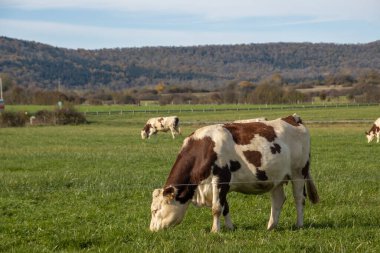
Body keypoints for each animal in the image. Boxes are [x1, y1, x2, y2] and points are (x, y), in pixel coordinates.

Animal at [150, 113, 320, 232]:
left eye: (155, 210)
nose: (152, 230)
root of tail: (292, 118)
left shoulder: (220, 179)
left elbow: (216, 208)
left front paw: (215, 230)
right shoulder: (220, 186)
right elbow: (225, 207)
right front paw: (230, 228)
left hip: (299, 173)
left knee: (299, 199)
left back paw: (299, 224)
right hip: (276, 177)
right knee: (278, 200)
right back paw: (271, 226)